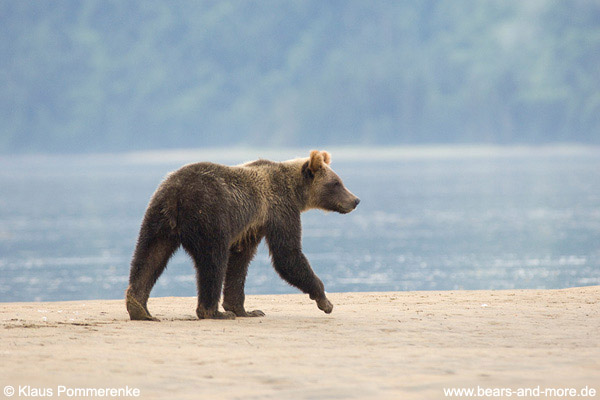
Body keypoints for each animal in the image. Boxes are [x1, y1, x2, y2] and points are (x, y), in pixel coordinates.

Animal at [125, 150, 358, 322]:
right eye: (336, 183)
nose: (355, 200)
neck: (294, 191)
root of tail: (177, 194)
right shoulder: (280, 209)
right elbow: (287, 255)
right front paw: (325, 301)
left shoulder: (252, 226)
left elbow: (240, 261)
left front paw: (245, 309)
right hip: (210, 216)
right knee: (213, 261)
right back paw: (214, 312)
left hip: (157, 218)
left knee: (149, 256)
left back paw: (139, 308)